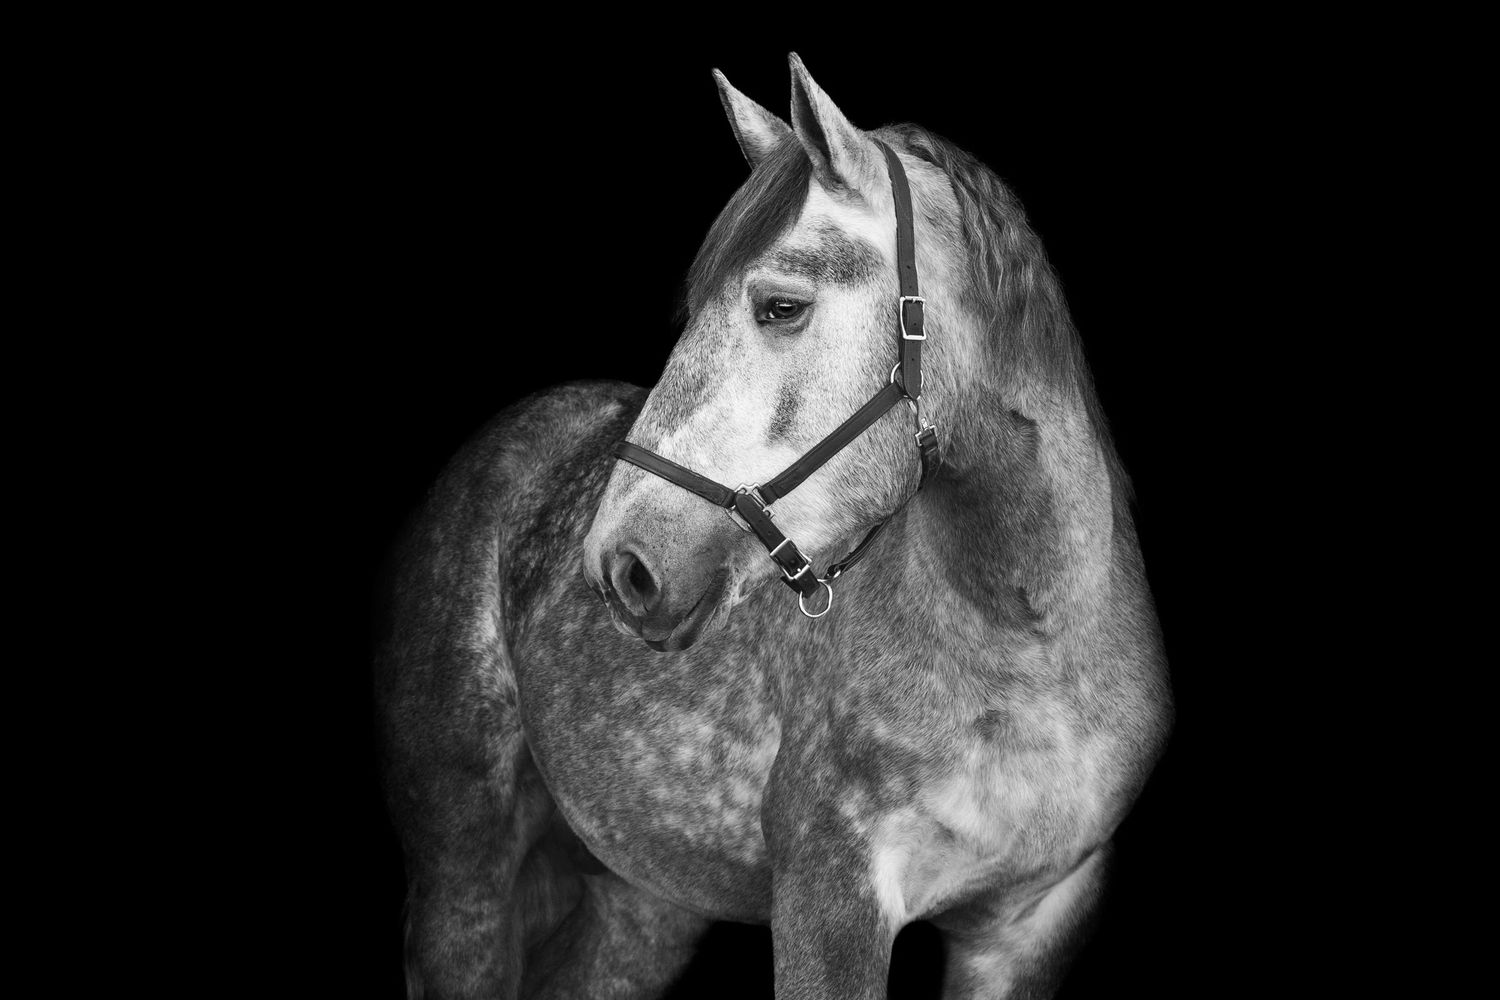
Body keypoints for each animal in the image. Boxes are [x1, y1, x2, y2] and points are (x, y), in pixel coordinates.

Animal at [375, 53, 1172, 1000]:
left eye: (781, 307)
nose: (618, 566)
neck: (1029, 648)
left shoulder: (1030, 928)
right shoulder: (830, 903)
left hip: (642, 905)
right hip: (464, 873)